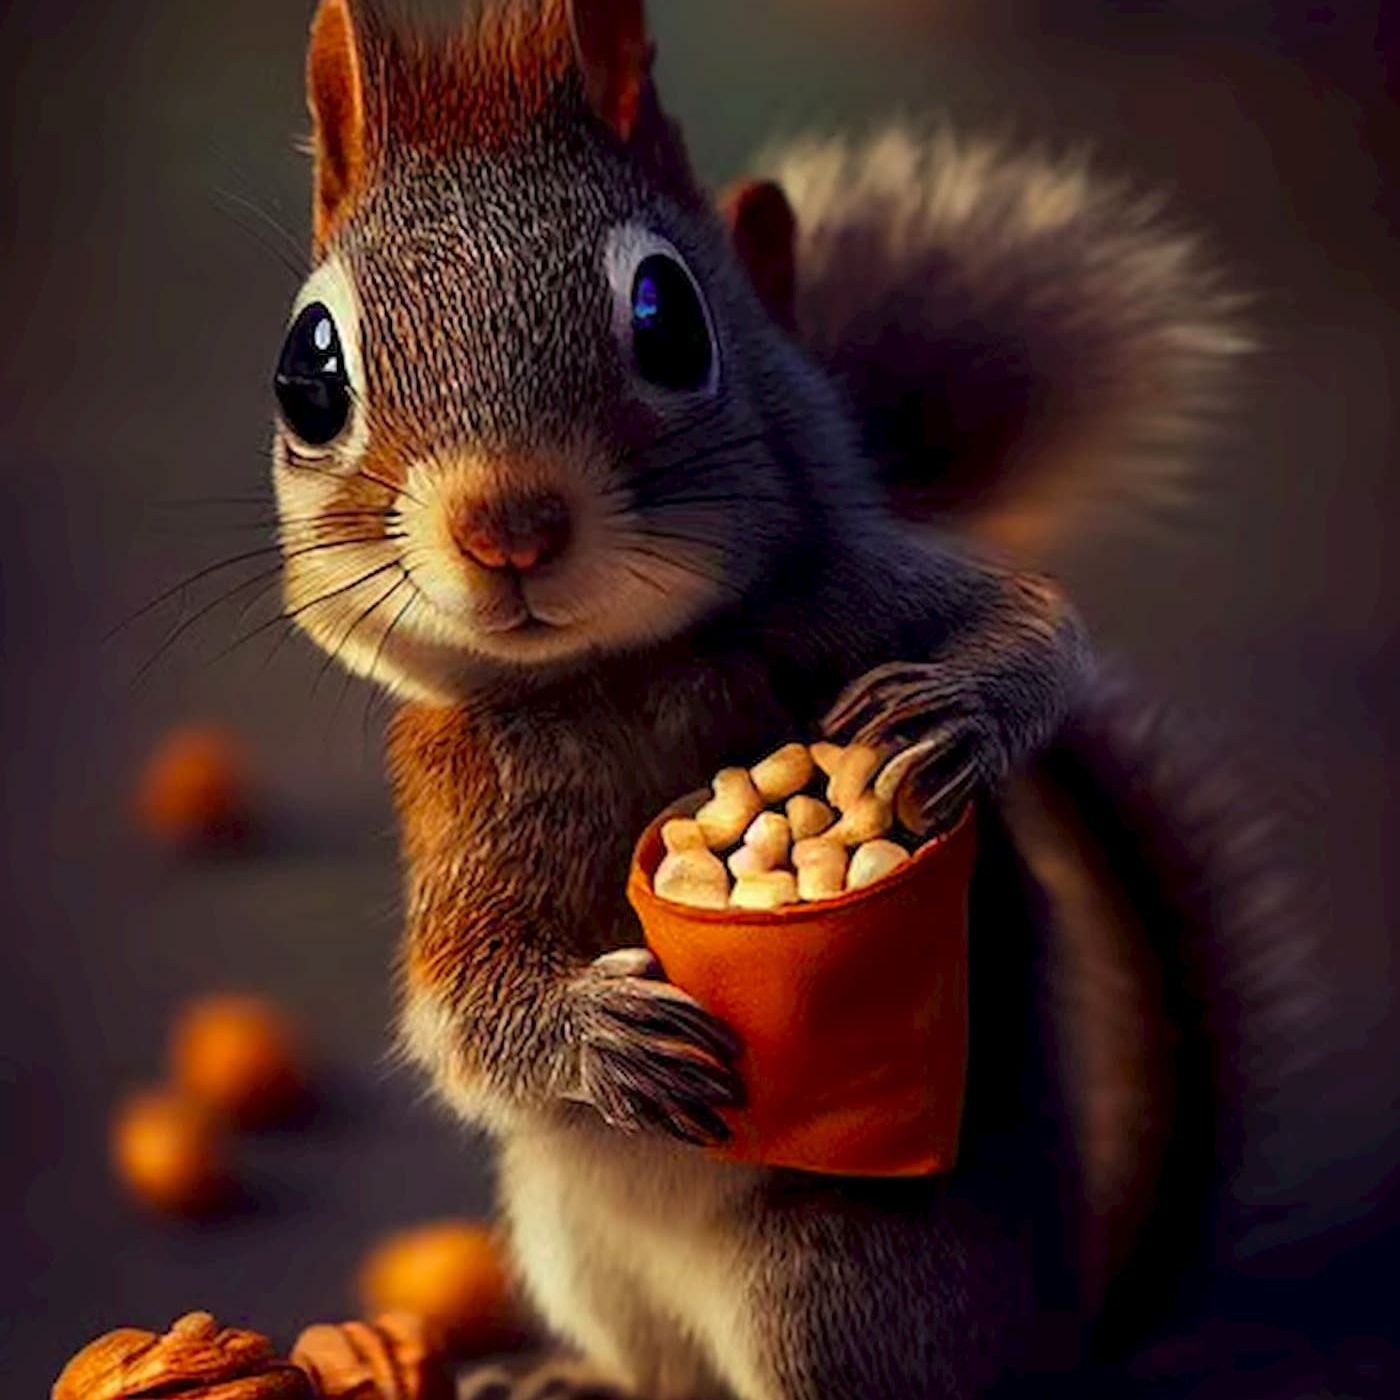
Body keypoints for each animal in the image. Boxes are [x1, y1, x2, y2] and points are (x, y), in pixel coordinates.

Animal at [266, 1, 1306, 1395]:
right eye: (306, 373)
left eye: (668, 316)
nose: (507, 524)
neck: (619, 672)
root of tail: (1056, 1337)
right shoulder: (450, 806)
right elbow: (459, 1004)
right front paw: (599, 1033)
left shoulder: (855, 582)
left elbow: (1039, 628)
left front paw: (950, 715)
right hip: (574, 1240)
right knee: (659, 1367)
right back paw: (569, 1374)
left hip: (842, 1280)